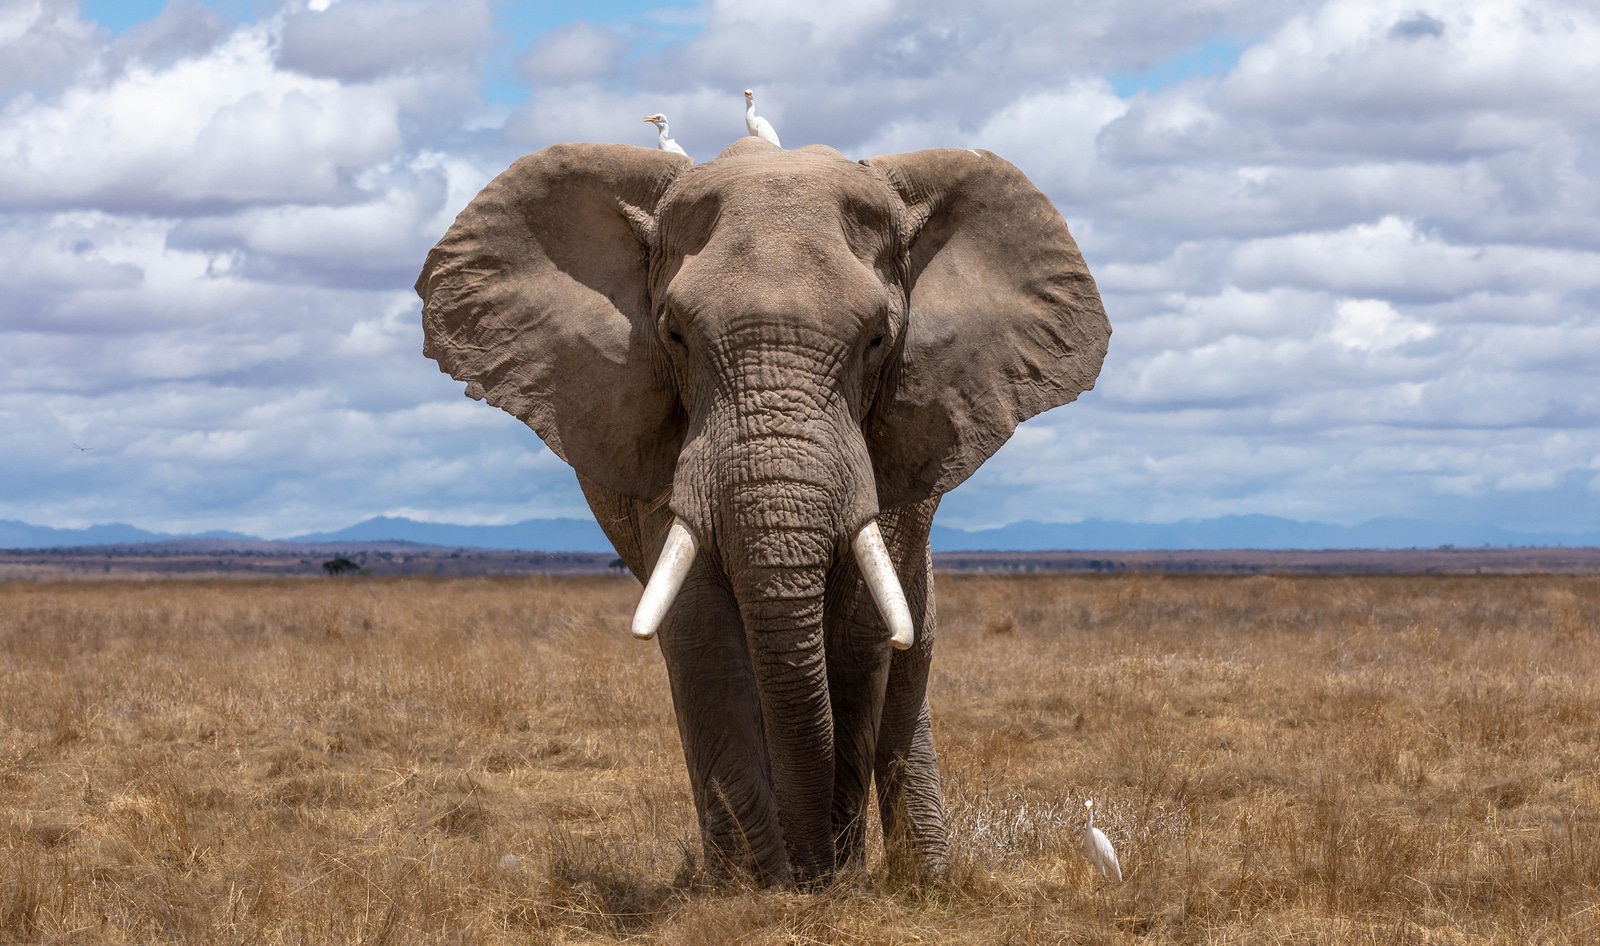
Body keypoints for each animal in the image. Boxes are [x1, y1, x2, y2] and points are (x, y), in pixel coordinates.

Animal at [415, 136, 1110, 886]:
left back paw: (924, 879)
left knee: (909, 657)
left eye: (877, 339)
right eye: (675, 335)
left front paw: (828, 881)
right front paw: (757, 889)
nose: (813, 872)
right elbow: (702, 630)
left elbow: (860, 633)